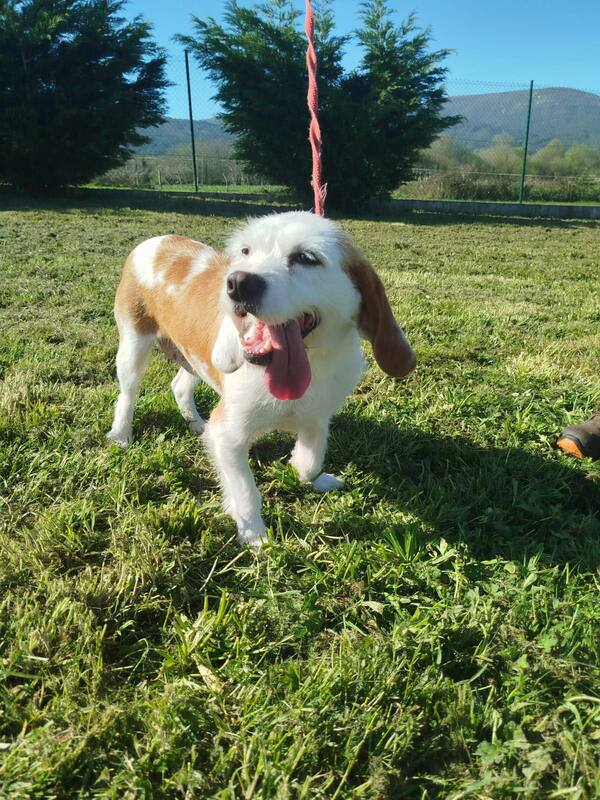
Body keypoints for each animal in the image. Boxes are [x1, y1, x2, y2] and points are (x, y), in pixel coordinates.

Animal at [107, 211, 416, 547]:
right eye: (245, 252)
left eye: (306, 257)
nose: (238, 282)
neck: (308, 367)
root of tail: (157, 240)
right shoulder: (227, 434)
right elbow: (245, 489)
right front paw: (253, 533)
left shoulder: (318, 418)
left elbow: (310, 461)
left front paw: (309, 476)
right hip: (133, 344)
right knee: (127, 394)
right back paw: (121, 434)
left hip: (192, 357)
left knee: (179, 386)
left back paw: (196, 423)